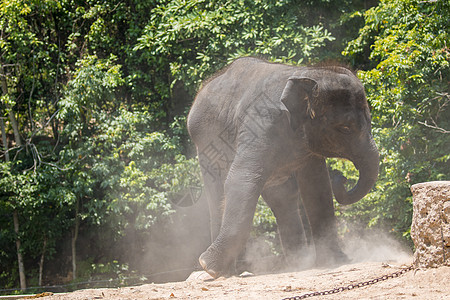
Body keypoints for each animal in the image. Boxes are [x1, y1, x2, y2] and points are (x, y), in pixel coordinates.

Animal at [186, 56, 380, 278]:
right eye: (345, 128)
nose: (342, 177)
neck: (307, 74)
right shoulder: (262, 123)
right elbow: (240, 179)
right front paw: (207, 266)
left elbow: (317, 186)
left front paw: (337, 261)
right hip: (206, 143)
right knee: (219, 190)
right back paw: (224, 272)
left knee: (284, 196)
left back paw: (299, 264)